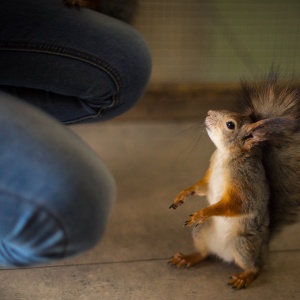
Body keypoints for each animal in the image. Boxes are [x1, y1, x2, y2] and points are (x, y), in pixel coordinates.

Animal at [169, 71, 300, 290]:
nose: (209, 112)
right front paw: (183, 194)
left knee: (255, 268)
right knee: (204, 253)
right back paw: (188, 257)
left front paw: (203, 212)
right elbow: (201, 187)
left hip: (244, 244)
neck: (225, 156)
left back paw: (243, 277)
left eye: (230, 124)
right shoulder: (210, 175)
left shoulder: (246, 183)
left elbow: (237, 205)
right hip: (201, 232)